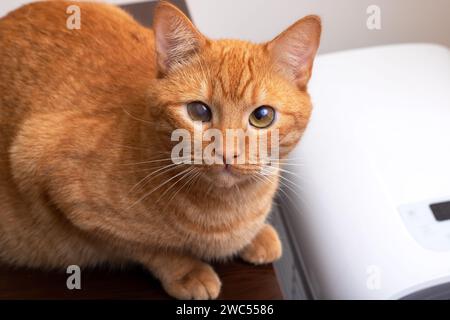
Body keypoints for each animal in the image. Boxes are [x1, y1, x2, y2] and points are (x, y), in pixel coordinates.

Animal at [0, 0, 320, 300]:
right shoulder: (49, 176)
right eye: (199, 111)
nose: (226, 153)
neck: (232, 207)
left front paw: (257, 235)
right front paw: (187, 270)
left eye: (262, 116)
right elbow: (148, 248)